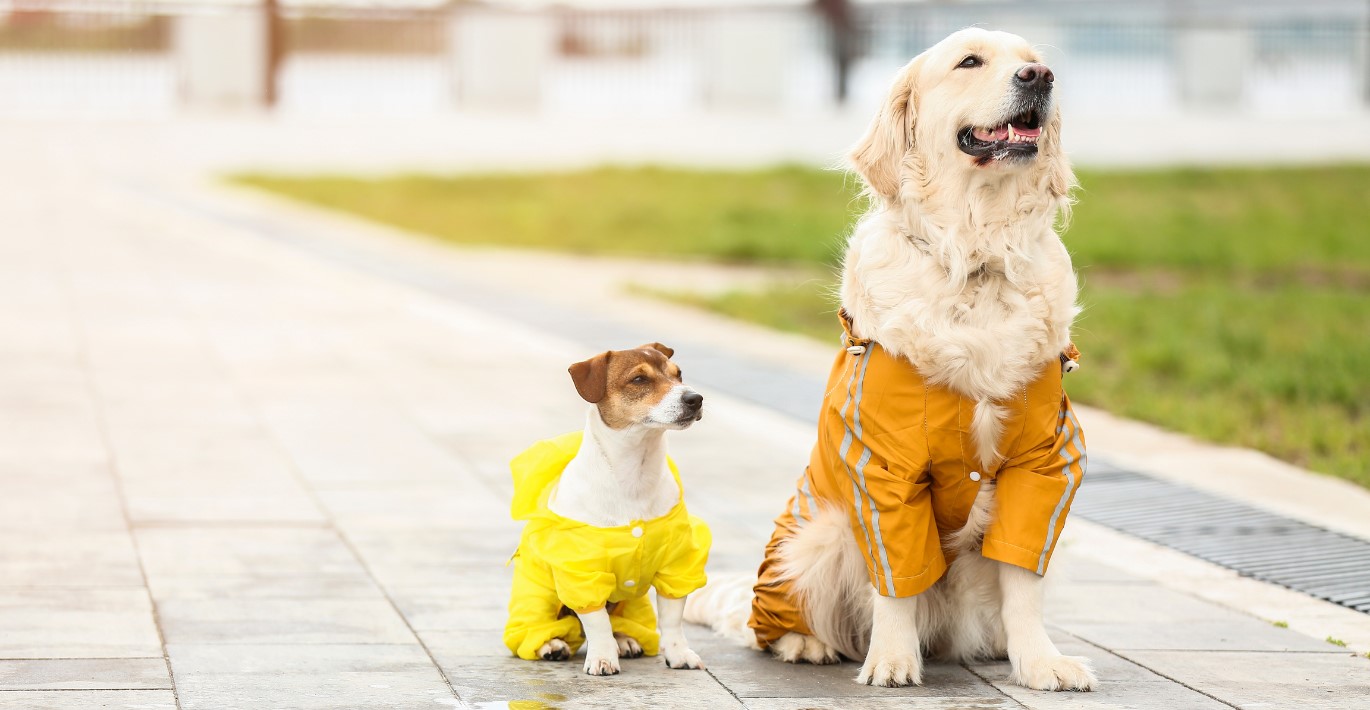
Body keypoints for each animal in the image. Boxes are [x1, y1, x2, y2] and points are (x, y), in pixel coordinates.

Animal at [690, 29, 1096, 696]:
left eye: (1033, 59)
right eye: (969, 62)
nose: (1041, 77)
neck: (978, 259)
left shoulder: (1045, 461)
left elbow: (1023, 579)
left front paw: (1041, 662)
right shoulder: (882, 468)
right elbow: (896, 581)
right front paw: (893, 660)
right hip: (817, 536)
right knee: (774, 626)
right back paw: (806, 644)